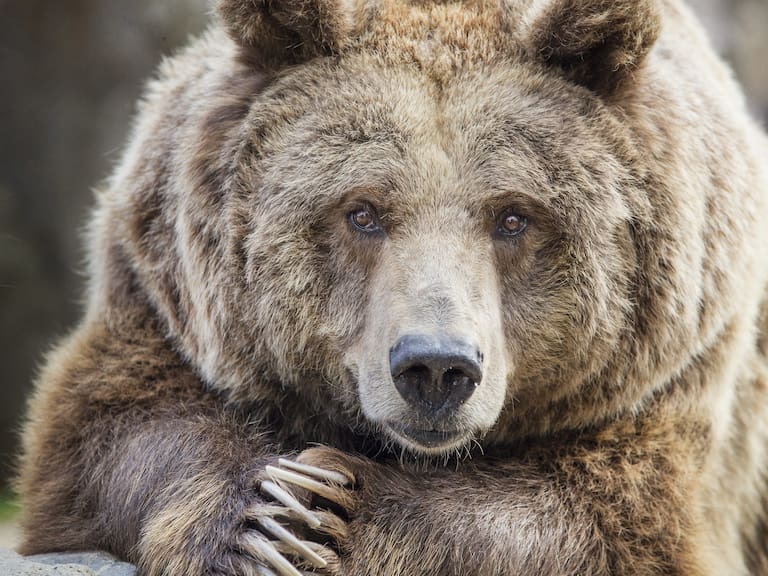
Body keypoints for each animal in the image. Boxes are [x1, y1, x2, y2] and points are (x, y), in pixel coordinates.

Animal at [16, 0, 768, 574]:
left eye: (514, 215)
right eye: (363, 211)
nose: (436, 367)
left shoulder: (675, 365)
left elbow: (600, 517)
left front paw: (337, 510)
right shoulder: (162, 293)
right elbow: (111, 430)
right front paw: (270, 521)